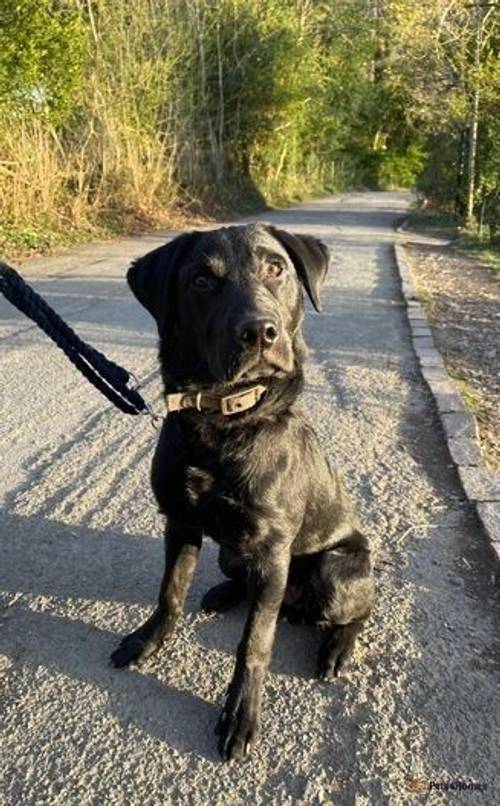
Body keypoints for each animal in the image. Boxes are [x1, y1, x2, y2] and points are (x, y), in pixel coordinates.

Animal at [111, 224, 374, 760]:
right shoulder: (181, 524)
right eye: (201, 280)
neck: (223, 423)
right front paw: (148, 642)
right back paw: (226, 592)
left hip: (336, 570)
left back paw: (337, 647)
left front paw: (240, 713)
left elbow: (255, 644)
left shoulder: (273, 549)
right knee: (251, 584)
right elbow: (169, 594)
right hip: (233, 554)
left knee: (356, 611)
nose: (260, 332)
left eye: (276, 268)